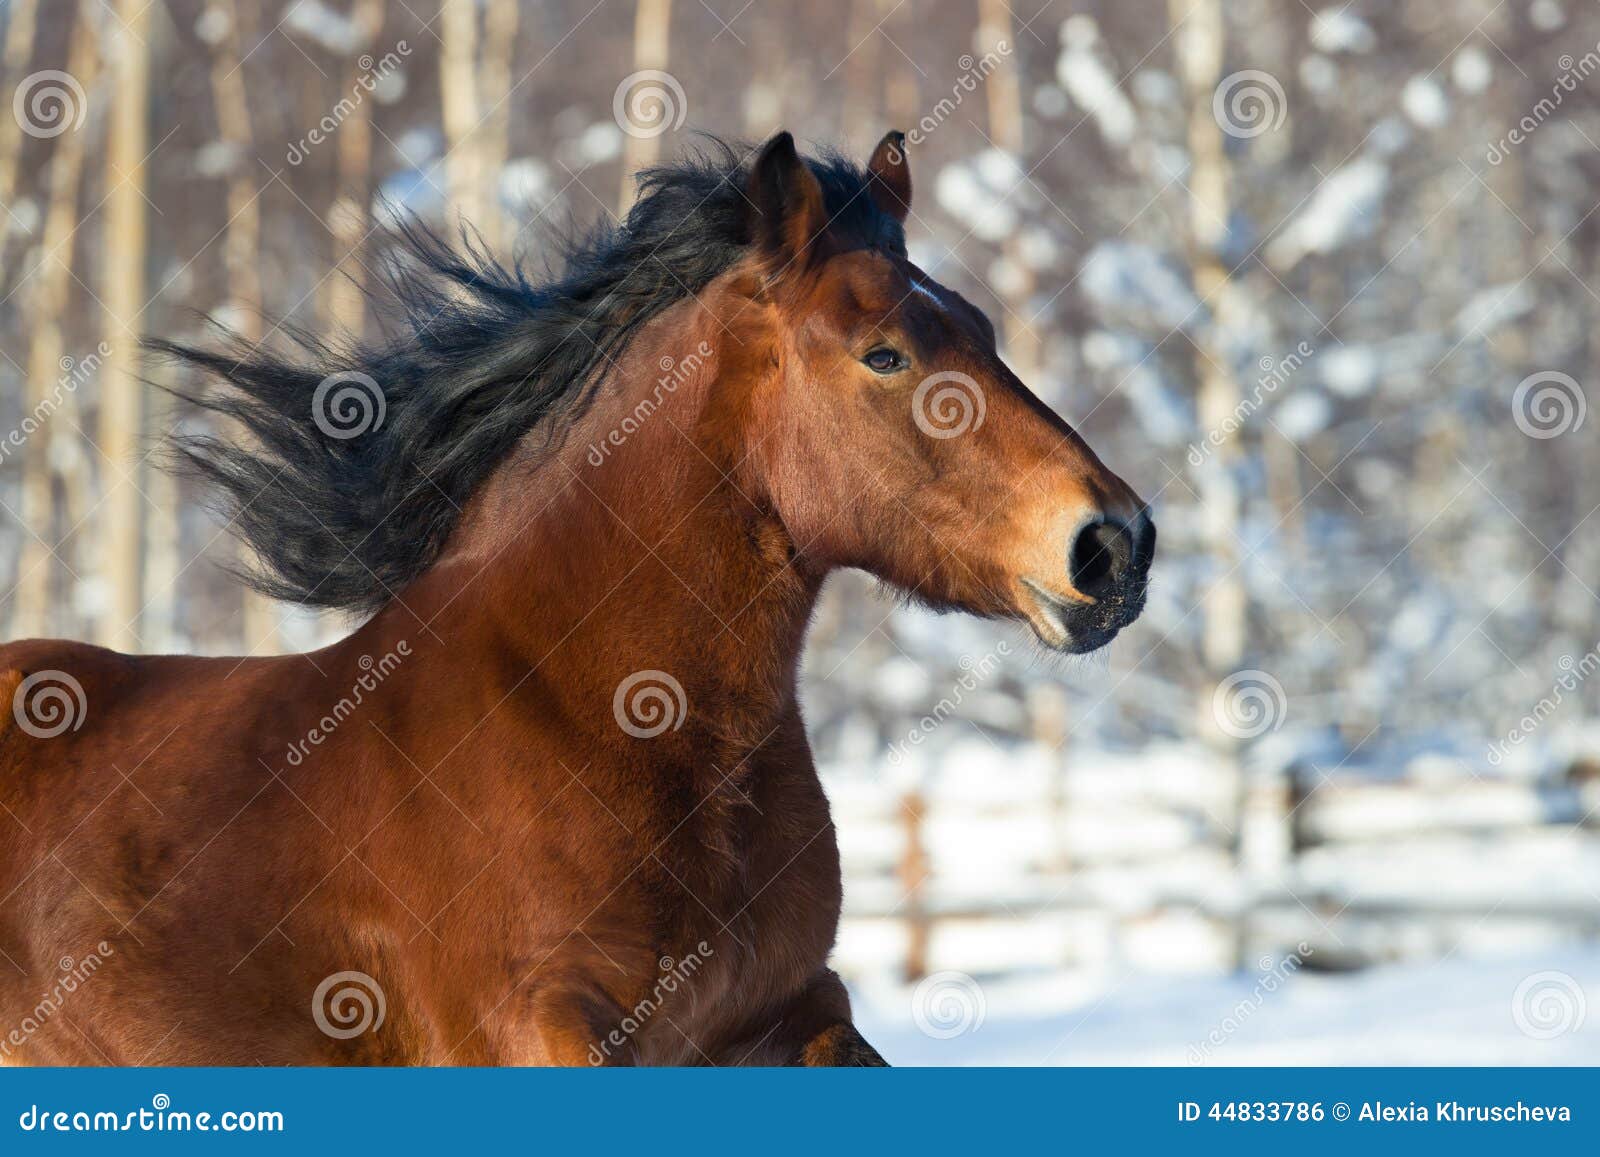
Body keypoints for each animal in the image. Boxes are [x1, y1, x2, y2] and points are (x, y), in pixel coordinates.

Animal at [0, 131, 1153, 1065]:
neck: (606, 717)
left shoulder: (787, 1011)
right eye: (885, 353)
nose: (1115, 544)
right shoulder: (536, 1027)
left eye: (982, 328)